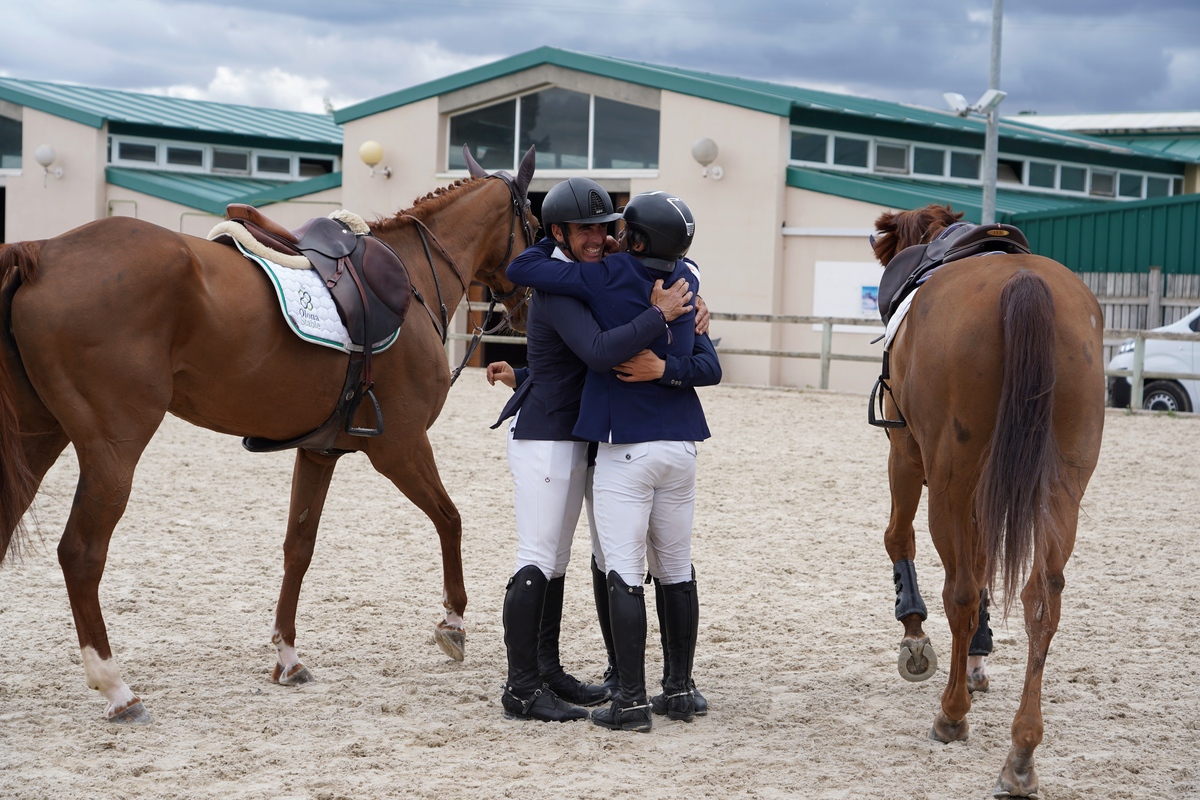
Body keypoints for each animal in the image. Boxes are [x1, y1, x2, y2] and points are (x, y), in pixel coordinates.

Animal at [0, 146, 535, 724]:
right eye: (535, 221)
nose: (530, 308)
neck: (411, 276)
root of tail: (42, 253)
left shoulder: (321, 451)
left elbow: (298, 546)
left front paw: (287, 655)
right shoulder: (402, 447)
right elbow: (450, 520)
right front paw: (453, 622)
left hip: (39, 438)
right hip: (112, 449)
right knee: (82, 553)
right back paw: (117, 688)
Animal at [873, 205, 1104, 796]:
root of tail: (1024, 283)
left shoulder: (906, 453)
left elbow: (899, 538)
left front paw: (915, 637)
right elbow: (986, 568)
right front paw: (977, 658)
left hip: (949, 482)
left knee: (960, 589)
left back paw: (951, 714)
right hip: (1062, 486)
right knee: (1041, 598)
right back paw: (1021, 754)